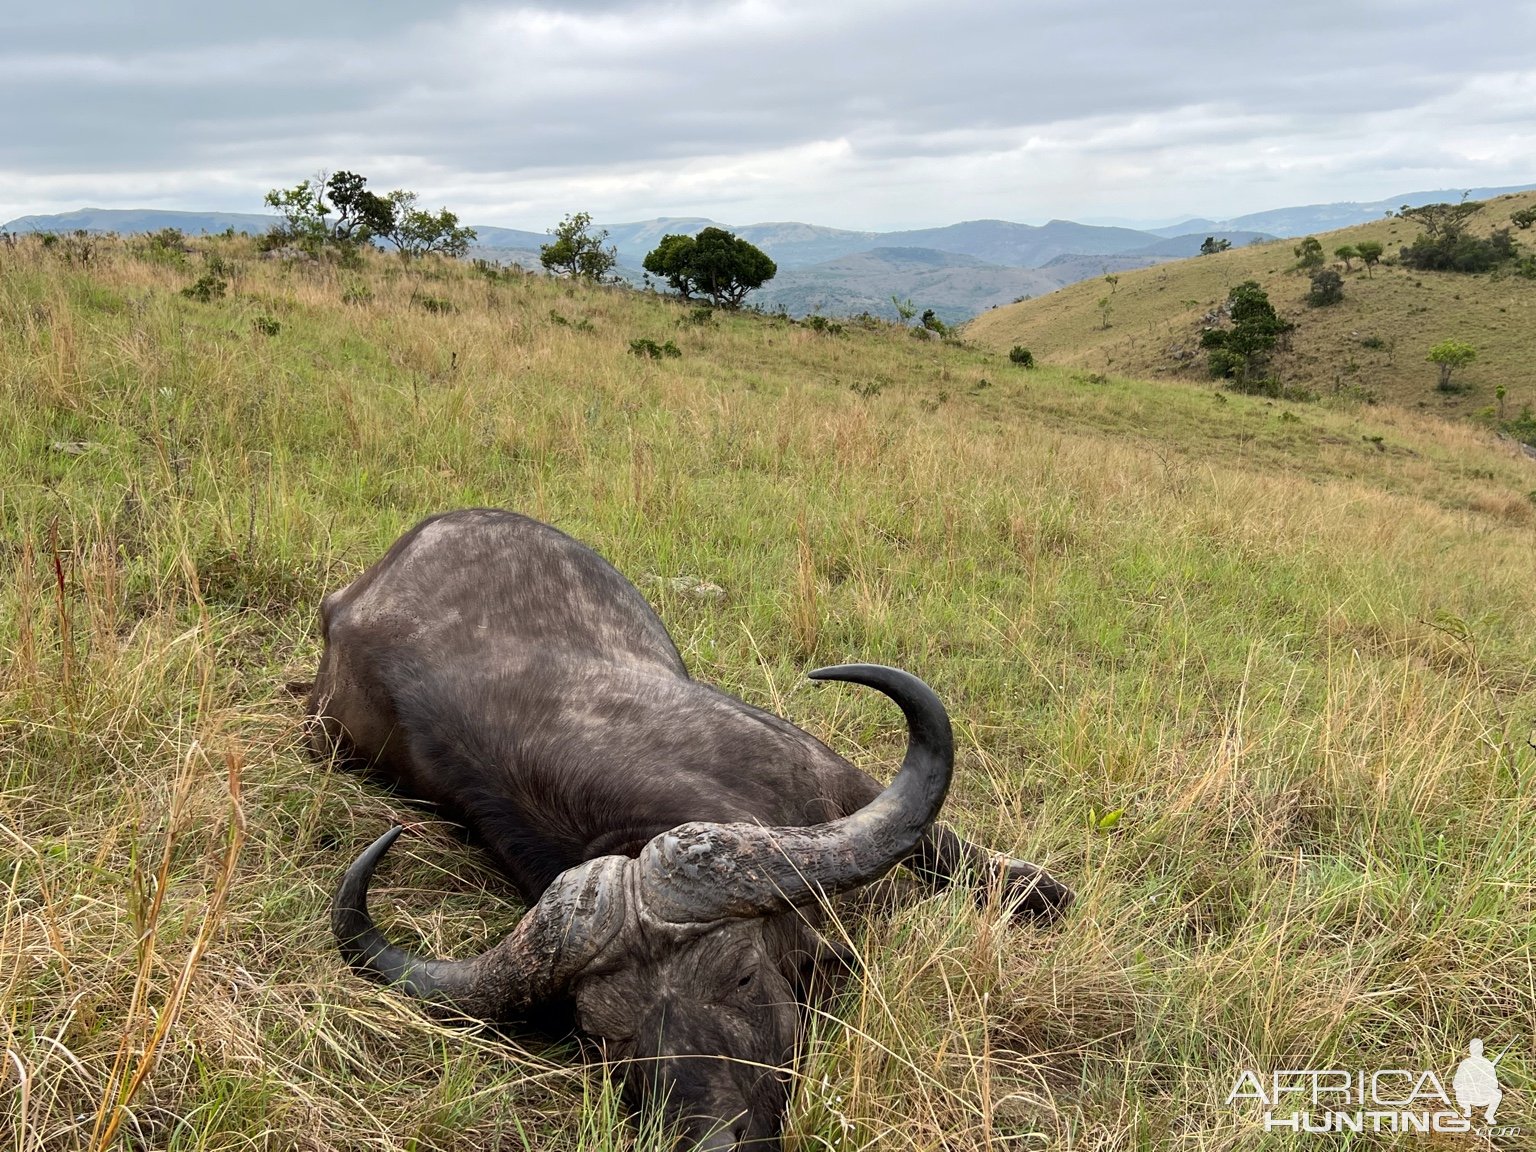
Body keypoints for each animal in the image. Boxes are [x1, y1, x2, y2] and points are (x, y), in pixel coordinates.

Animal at [310, 513, 1069, 1152]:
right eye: (604, 1037)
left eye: (741, 977)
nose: (710, 1142)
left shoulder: (834, 773)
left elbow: (949, 849)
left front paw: (1042, 895)